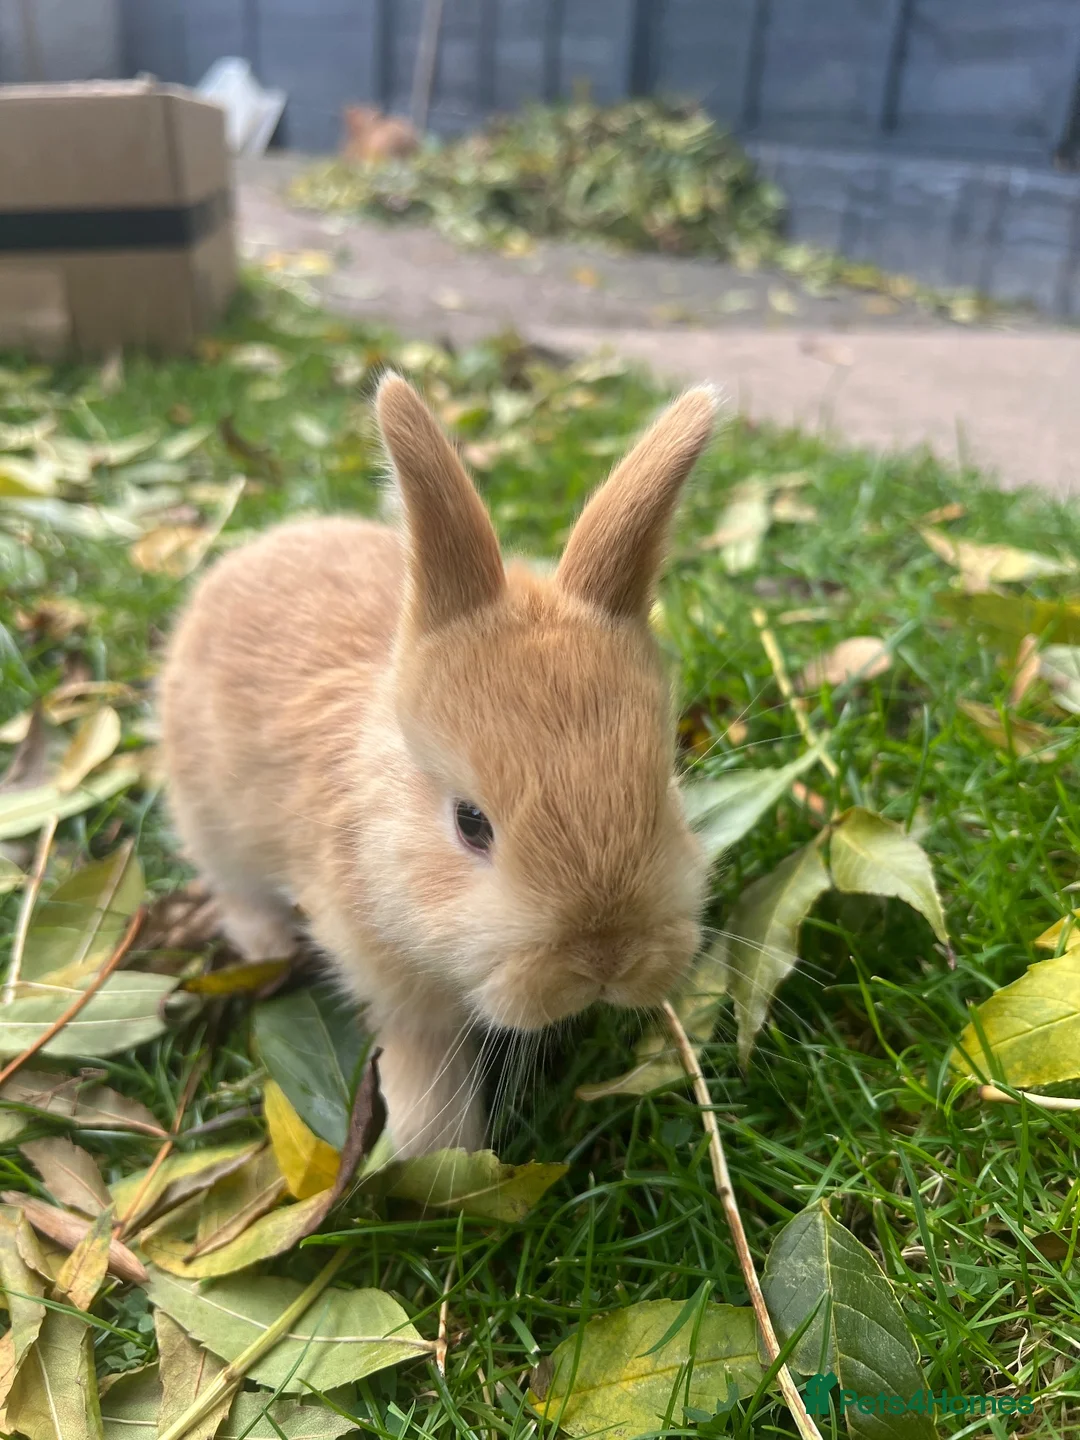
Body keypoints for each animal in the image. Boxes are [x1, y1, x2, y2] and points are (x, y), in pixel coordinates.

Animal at [158, 374, 718, 1159]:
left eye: (663, 793)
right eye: (470, 823)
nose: (605, 959)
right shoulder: (388, 978)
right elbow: (422, 1061)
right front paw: (440, 1156)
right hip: (210, 825)